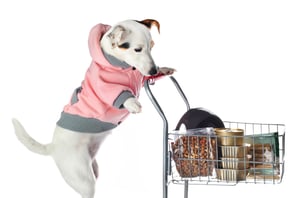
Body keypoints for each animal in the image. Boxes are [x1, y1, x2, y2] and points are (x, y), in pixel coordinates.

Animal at [12, 19, 176, 198]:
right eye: (137, 49)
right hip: (84, 179)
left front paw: (164, 70)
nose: (153, 70)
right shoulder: (103, 85)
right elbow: (117, 93)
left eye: (152, 46)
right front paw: (132, 103)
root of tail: (52, 147)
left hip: (92, 169)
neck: (122, 65)